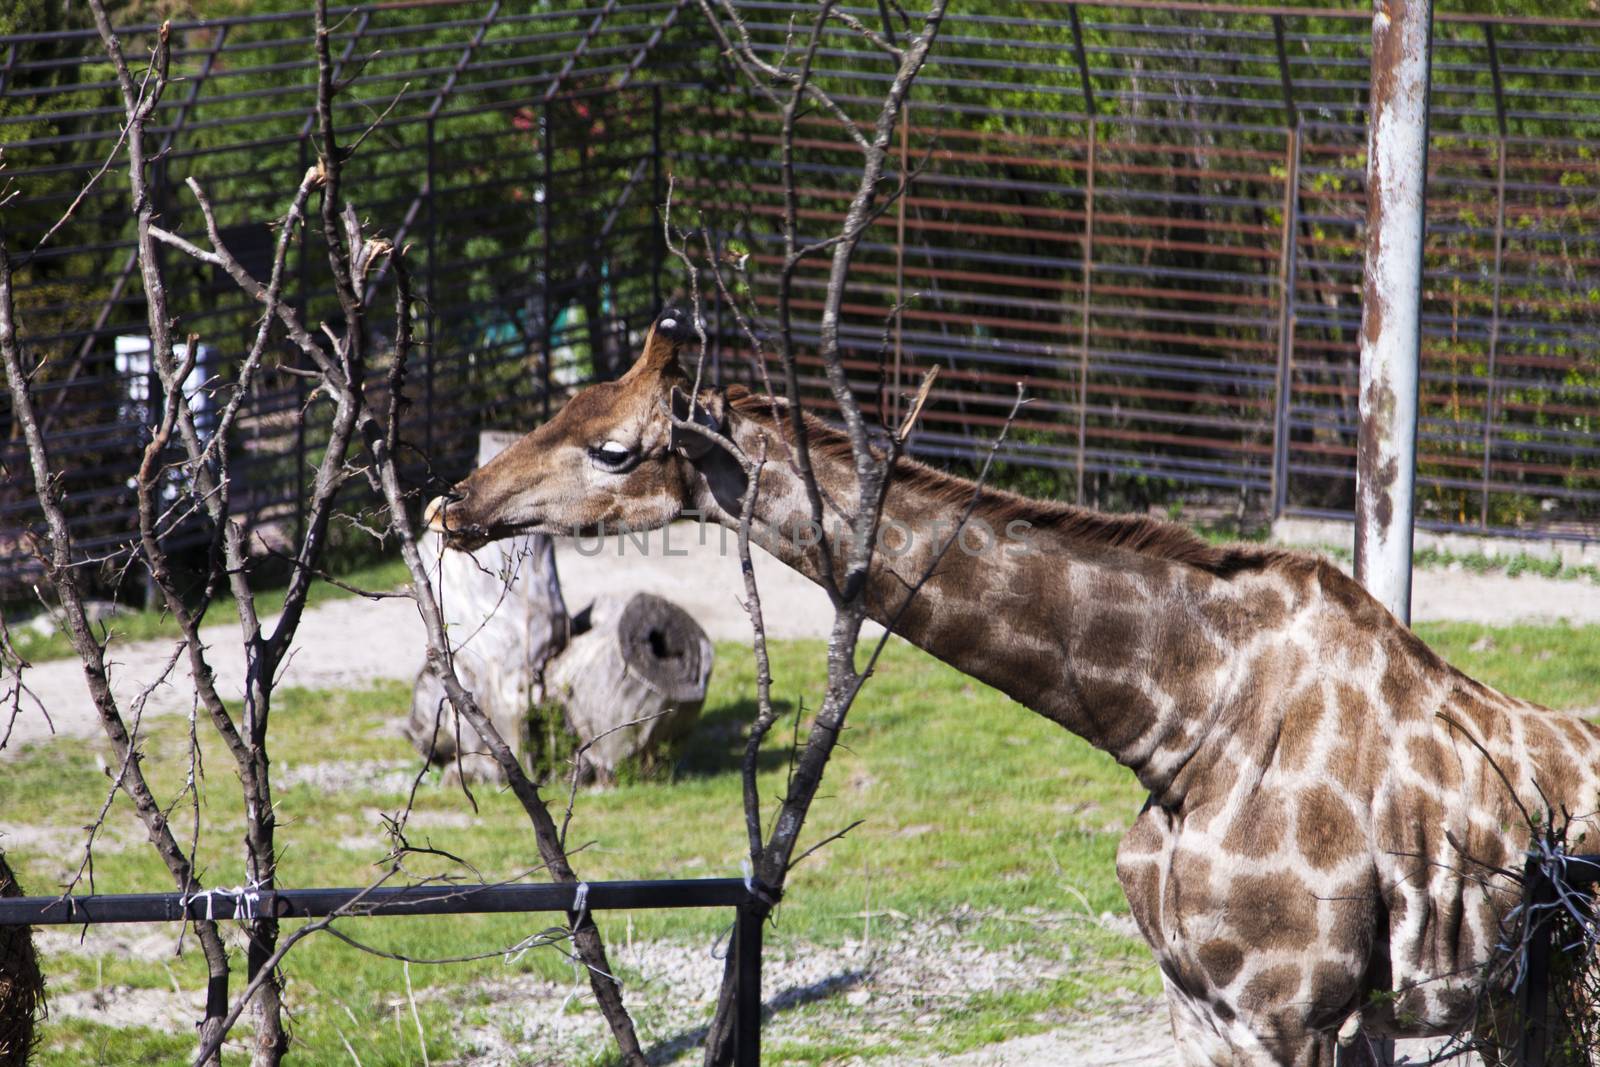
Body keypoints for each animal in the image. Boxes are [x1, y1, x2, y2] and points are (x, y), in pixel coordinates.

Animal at [425, 310, 1600, 1067]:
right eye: (563, 404)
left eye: (614, 448)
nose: (452, 504)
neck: (1182, 723)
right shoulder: (1204, 1005)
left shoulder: (1296, 1010)